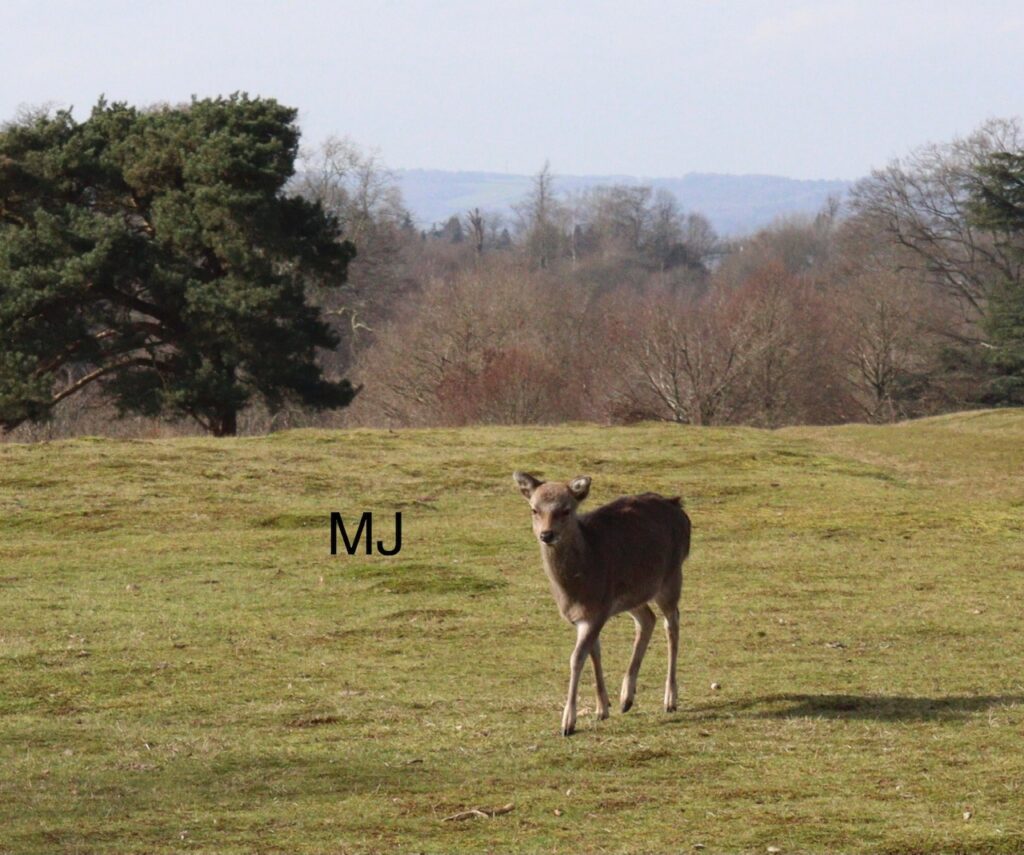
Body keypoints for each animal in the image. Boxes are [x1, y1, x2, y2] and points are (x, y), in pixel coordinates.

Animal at [513, 472, 691, 736]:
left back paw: (670, 699)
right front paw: (602, 708)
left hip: (670, 577)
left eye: (566, 510)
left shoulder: (597, 611)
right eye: (534, 509)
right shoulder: (588, 614)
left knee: (673, 623)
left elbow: (577, 657)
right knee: (647, 619)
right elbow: (594, 651)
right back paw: (626, 698)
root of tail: (679, 508)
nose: (546, 535)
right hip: (631, 595)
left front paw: (568, 723)